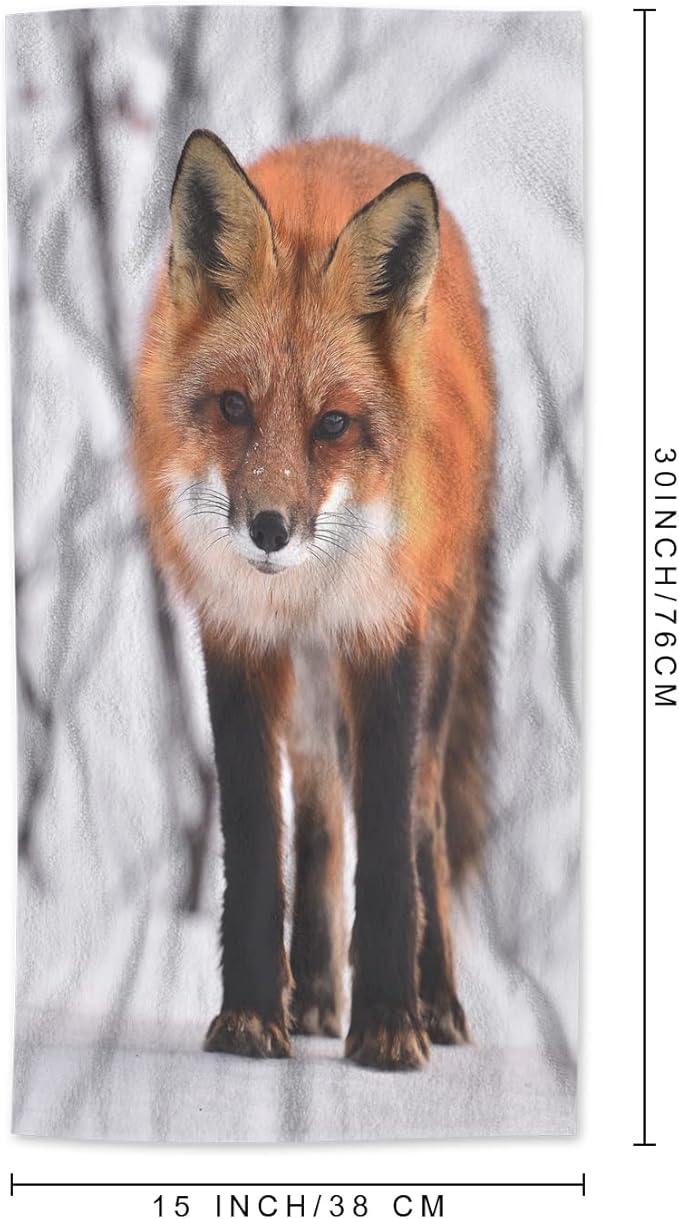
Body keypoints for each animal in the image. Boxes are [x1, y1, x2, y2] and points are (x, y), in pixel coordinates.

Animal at [133, 130, 495, 1071]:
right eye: (233, 405)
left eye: (331, 424)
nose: (268, 528)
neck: (301, 591)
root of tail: (349, 145)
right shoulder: (238, 639)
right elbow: (261, 841)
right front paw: (251, 1016)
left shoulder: (385, 637)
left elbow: (391, 853)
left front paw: (390, 1024)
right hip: (307, 694)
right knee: (322, 814)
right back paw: (316, 995)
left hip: (436, 658)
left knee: (422, 820)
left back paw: (434, 1000)